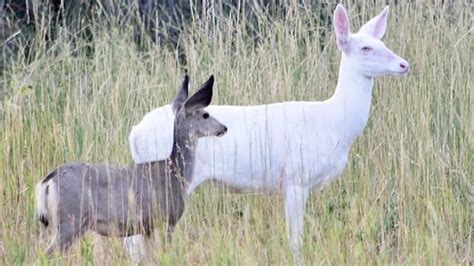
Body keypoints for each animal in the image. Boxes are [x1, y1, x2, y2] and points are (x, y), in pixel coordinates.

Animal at [128, 4, 410, 262]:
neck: (334, 123)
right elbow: (295, 238)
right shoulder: (296, 176)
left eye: (382, 42)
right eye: (366, 48)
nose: (404, 64)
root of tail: (134, 134)